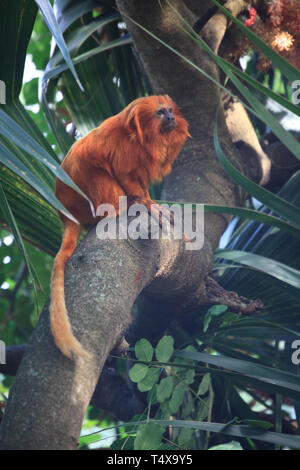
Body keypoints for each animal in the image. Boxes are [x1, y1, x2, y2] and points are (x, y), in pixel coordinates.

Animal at [49, 95, 190, 360]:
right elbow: (124, 174)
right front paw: (145, 204)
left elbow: (142, 182)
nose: (170, 117)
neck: (145, 138)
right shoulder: (124, 151)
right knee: (93, 167)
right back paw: (120, 208)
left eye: (169, 110)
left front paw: (153, 202)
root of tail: (67, 214)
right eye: (160, 113)